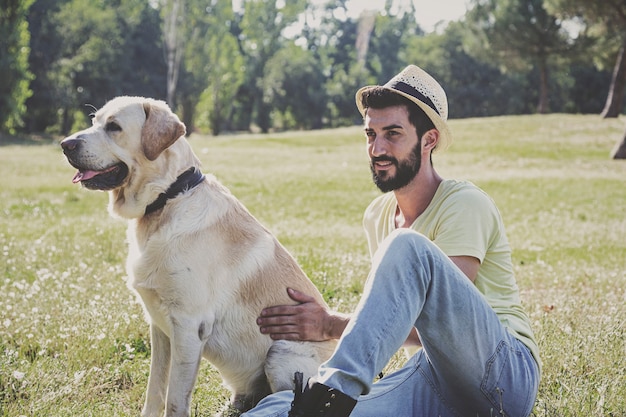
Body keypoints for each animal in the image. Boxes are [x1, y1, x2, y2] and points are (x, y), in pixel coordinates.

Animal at [61, 96, 336, 414]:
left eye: (114, 127)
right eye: (94, 121)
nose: (65, 144)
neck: (168, 198)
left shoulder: (188, 325)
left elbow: (175, 399)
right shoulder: (159, 326)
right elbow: (155, 390)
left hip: (280, 355)